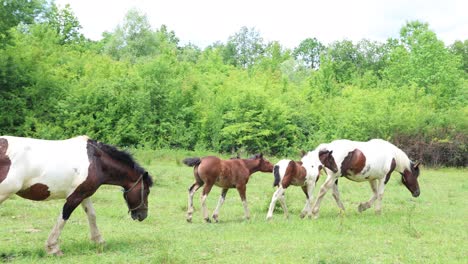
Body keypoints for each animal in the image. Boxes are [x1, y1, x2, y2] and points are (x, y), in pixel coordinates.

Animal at [0, 135, 154, 255]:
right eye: (146, 191)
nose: (143, 215)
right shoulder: (75, 197)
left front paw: (99, 241)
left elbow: (92, 215)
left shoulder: (84, 194)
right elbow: (63, 218)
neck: (96, 161)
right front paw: (53, 248)